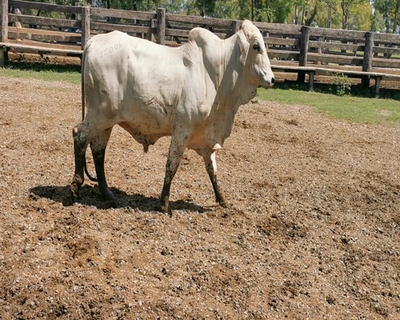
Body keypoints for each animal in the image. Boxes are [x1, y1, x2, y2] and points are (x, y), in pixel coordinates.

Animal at [69, 18, 276, 212]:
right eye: (256, 46)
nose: (272, 79)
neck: (217, 74)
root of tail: (93, 41)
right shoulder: (183, 129)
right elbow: (172, 164)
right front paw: (164, 203)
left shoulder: (205, 135)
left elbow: (212, 169)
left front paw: (222, 199)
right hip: (100, 115)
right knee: (79, 135)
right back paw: (75, 187)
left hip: (106, 120)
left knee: (98, 150)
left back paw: (106, 192)